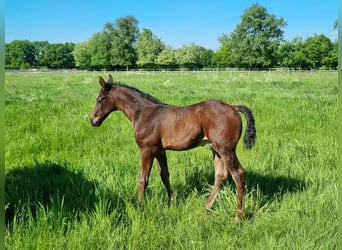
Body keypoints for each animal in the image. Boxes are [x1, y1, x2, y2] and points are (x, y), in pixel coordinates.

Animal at [89, 74, 255, 221]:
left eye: (100, 99)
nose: (92, 120)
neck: (143, 113)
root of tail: (233, 107)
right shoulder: (159, 150)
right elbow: (164, 175)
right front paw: (172, 202)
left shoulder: (147, 149)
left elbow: (143, 179)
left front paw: (139, 206)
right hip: (216, 149)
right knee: (221, 176)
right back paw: (206, 207)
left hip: (226, 149)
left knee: (238, 174)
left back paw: (238, 216)